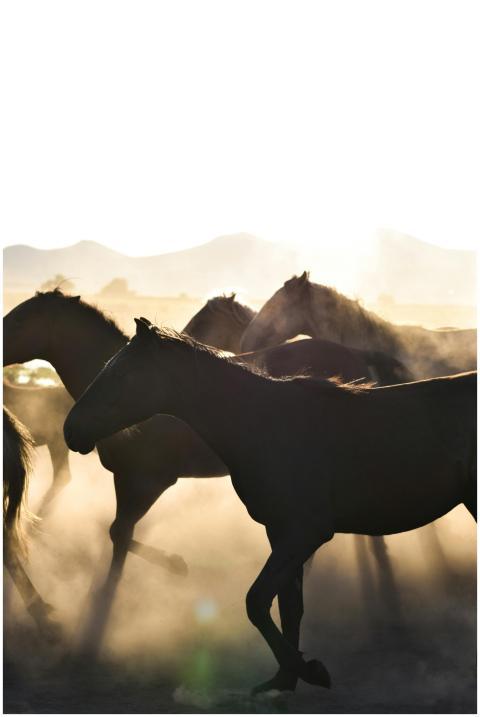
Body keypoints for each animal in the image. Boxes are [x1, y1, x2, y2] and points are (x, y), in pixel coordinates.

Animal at [63, 319, 477, 694]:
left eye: (124, 373)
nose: (71, 431)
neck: (265, 425)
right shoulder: (280, 534)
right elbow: (288, 606)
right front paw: (285, 679)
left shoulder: (304, 534)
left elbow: (257, 601)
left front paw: (309, 671)